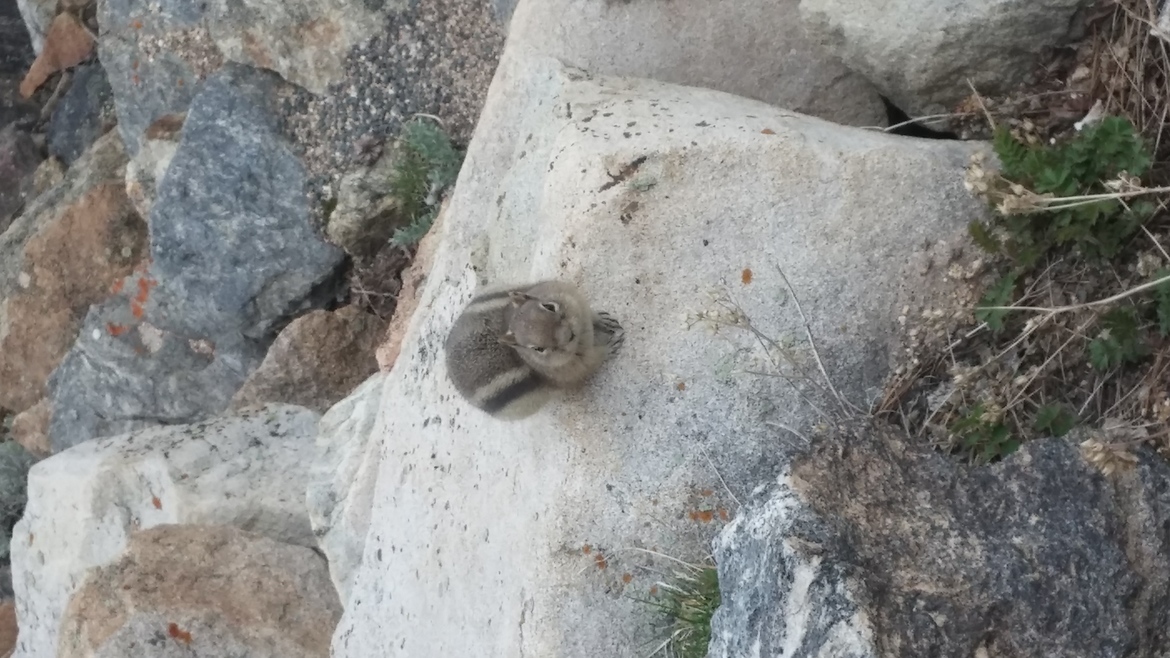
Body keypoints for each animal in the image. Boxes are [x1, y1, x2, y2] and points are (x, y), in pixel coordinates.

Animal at [444, 280, 624, 420]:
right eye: (538, 349)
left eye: (549, 306)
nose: (568, 335)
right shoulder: (578, 369)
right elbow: (597, 358)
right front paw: (611, 346)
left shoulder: (577, 302)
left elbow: (591, 316)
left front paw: (602, 319)